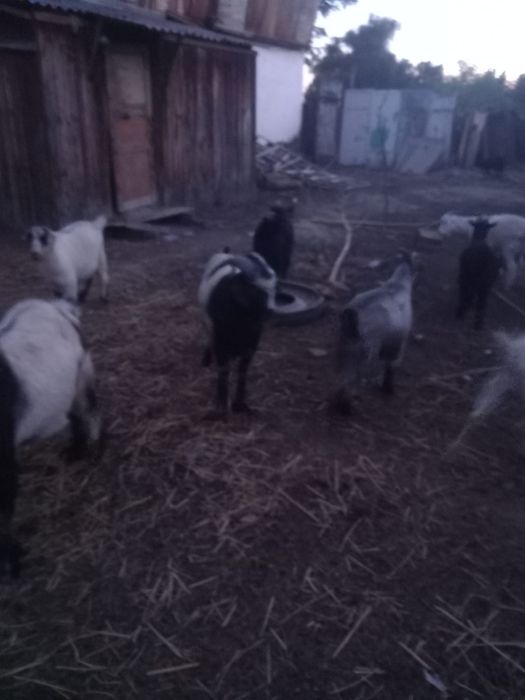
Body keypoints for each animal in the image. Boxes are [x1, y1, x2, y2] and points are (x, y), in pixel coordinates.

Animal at [198, 250, 277, 417]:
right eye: (255, 293)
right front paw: (221, 406)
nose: (271, 311)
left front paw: (240, 404)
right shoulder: (221, 344)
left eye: (274, 290)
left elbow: (242, 372)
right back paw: (206, 359)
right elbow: (224, 372)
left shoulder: (250, 347)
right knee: (208, 338)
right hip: (208, 323)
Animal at [332, 251, 417, 415]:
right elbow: (390, 368)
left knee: (340, 380)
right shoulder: (398, 346)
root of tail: (351, 319)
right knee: (350, 383)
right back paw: (348, 408)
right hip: (366, 355)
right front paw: (388, 389)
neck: (398, 284)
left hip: (345, 349)